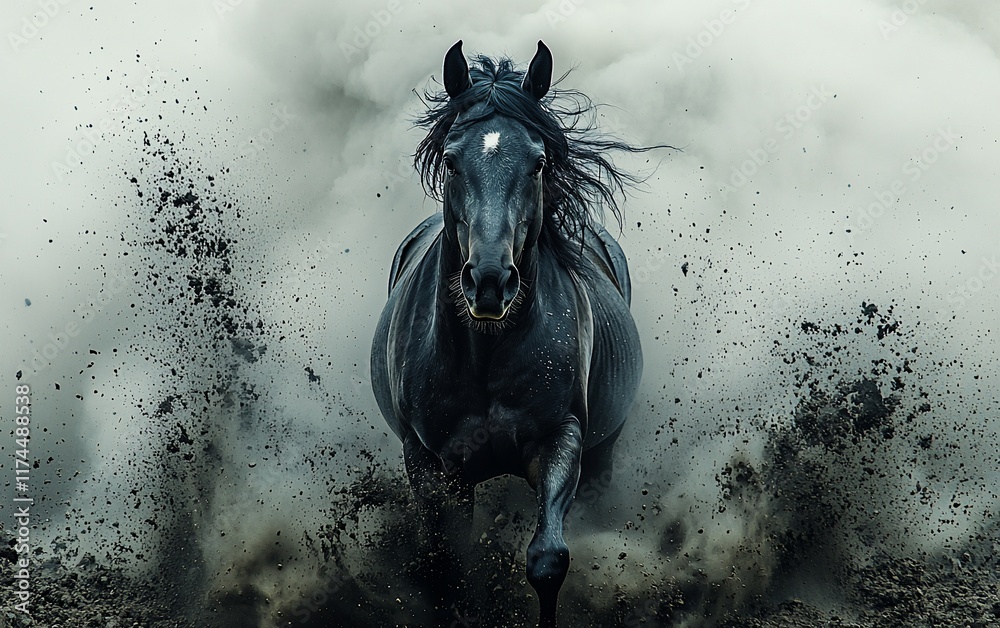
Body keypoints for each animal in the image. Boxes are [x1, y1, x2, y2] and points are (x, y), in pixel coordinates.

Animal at [371, 40, 656, 627]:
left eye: (538, 161)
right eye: (451, 159)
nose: (489, 282)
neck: (485, 356)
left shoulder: (560, 441)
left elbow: (547, 560)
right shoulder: (431, 465)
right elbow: (446, 570)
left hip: (603, 454)